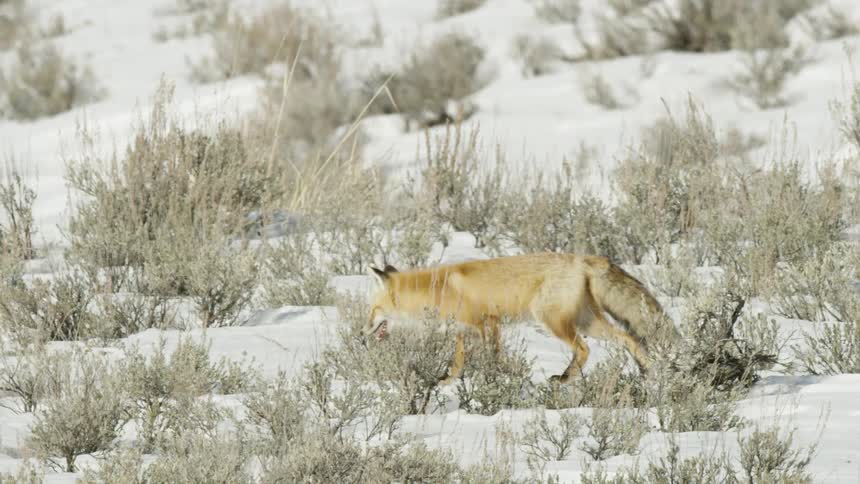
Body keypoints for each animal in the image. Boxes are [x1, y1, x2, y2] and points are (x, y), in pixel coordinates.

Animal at [363, 252, 667, 385]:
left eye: (372, 311)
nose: (361, 336)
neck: (437, 289)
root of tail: (584, 257)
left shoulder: (488, 322)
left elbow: (493, 358)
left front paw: (498, 380)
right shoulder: (463, 330)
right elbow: (457, 365)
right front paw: (444, 383)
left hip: (553, 320)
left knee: (583, 349)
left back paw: (564, 379)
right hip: (587, 322)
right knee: (628, 338)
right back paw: (647, 372)